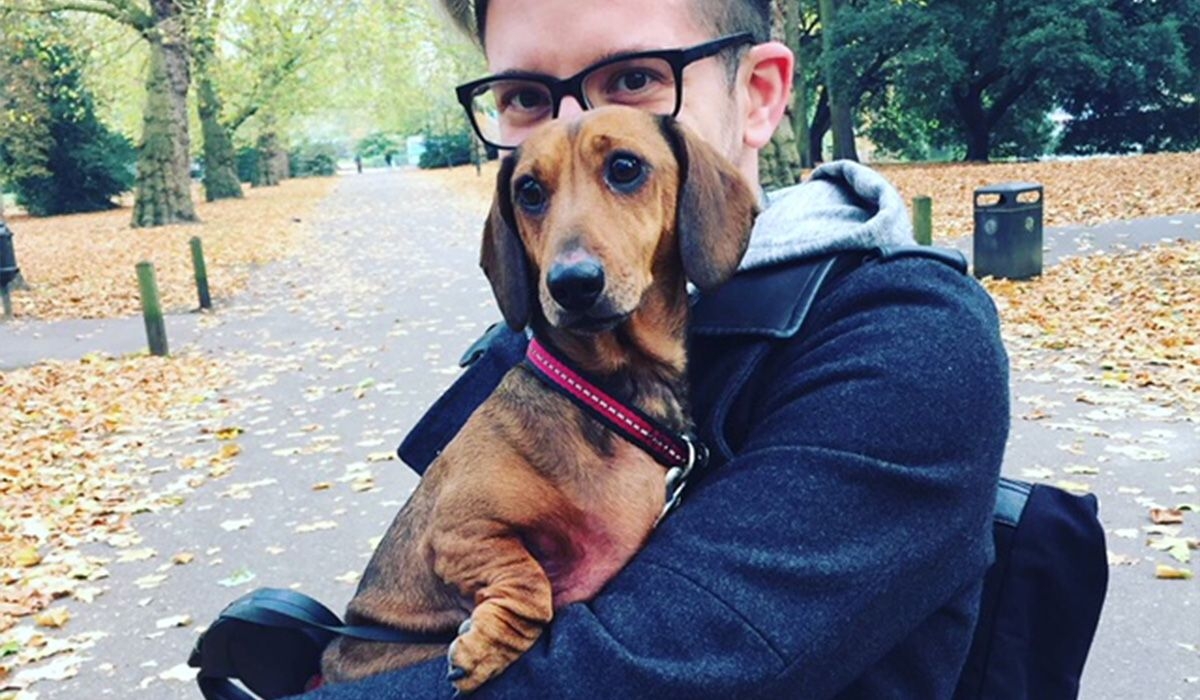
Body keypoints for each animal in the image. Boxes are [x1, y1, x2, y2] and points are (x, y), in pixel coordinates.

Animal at [324, 106, 753, 691]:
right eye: (528, 191)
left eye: (625, 167)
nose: (571, 283)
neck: (604, 396)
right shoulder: (458, 528)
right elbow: (530, 583)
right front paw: (488, 642)